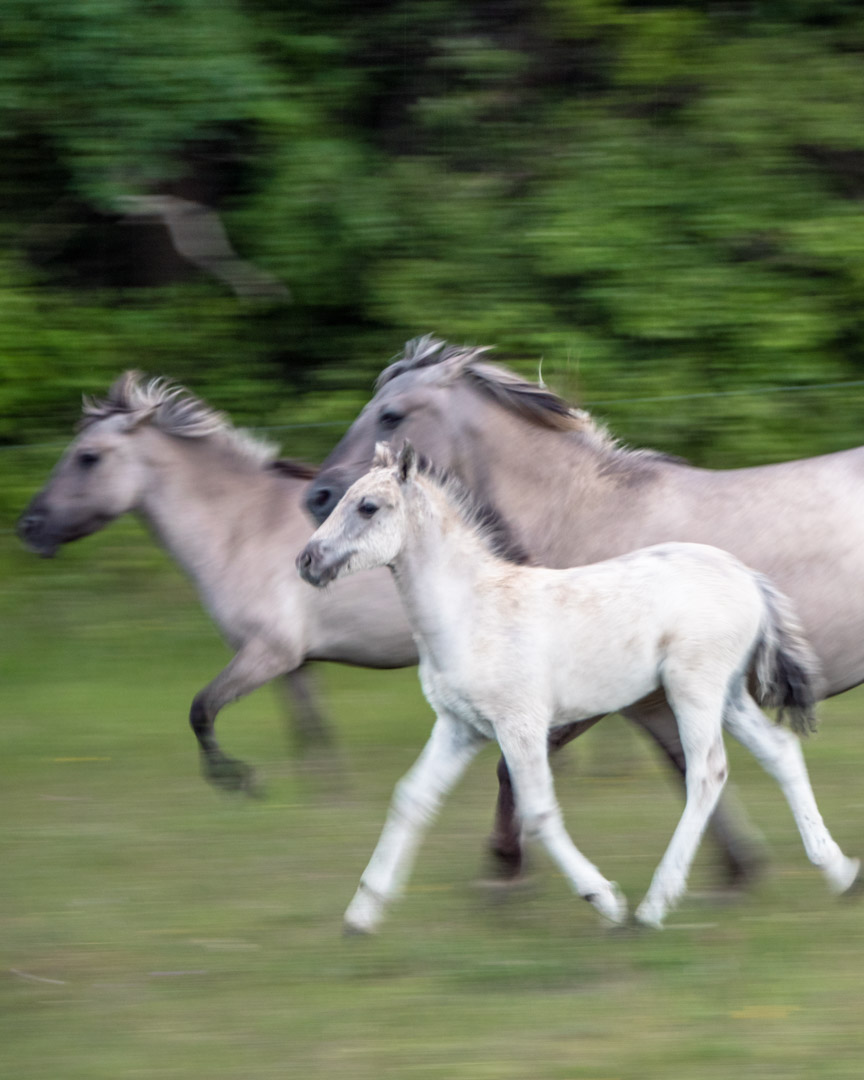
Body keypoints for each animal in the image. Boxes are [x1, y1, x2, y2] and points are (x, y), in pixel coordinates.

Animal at [16, 375, 414, 790]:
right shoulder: (295, 666)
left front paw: (236, 780)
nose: (28, 527)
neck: (245, 530)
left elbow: (202, 709)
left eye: (87, 457)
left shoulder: (268, 653)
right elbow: (314, 737)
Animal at [304, 334, 864, 885]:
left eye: (390, 415)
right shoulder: (636, 702)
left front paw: (507, 867)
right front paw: (739, 868)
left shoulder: (608, 698)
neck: (580, 514)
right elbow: (679, 768)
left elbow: (525, 772)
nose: (316, 496)